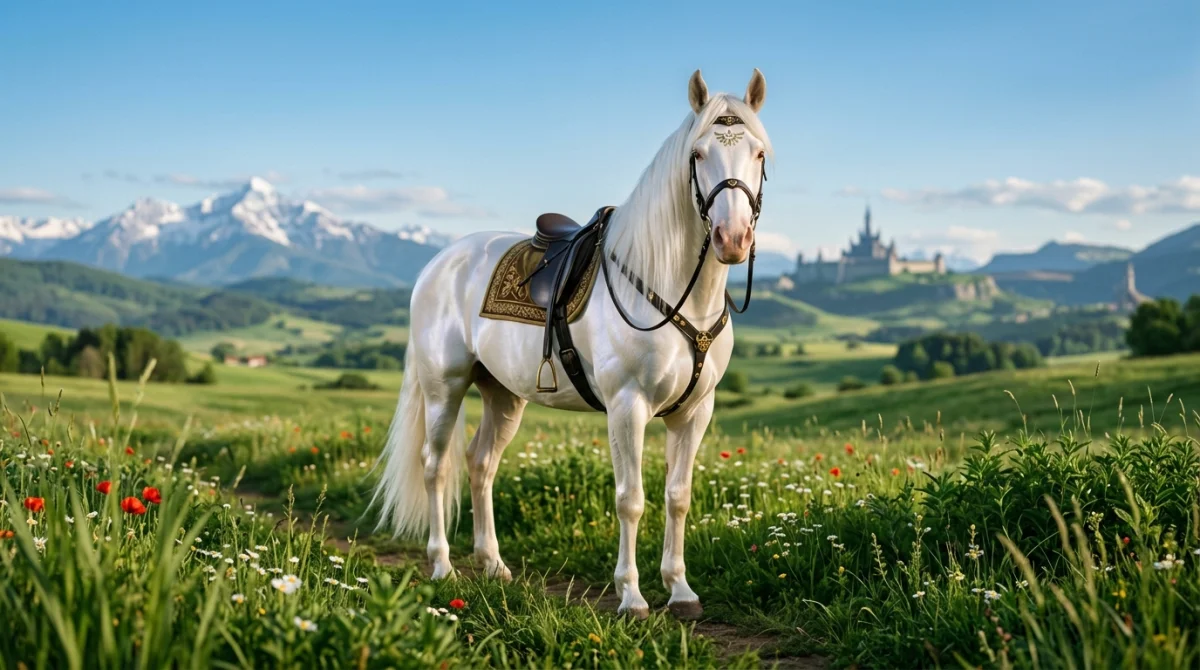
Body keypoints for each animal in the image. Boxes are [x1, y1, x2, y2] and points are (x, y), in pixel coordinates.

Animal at [372, 69, 772, 620]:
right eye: (697, 153)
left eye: (759, 153)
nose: (732, 239)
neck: (668, 288)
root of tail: (439, 263)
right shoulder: (627, 406)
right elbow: (631, 499)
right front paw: (631, 596)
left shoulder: (695, 412)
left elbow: (678, 496)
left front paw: (680, 590)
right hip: (443, 388)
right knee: (436, 467)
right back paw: (442, 566)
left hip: (503, 395)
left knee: (480, 464)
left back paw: (493, 564)